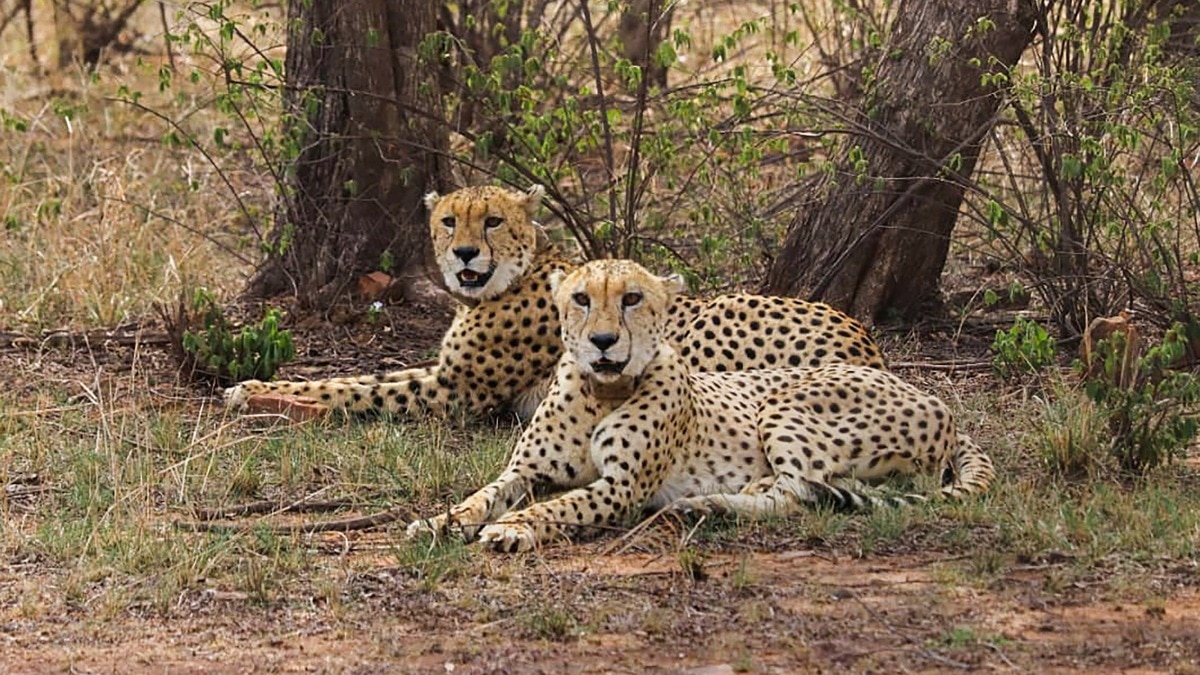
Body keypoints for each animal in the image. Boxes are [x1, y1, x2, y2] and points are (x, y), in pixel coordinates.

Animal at [224, 185, 886, 421]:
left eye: (492, 220)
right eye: (448, 221)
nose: (464, 254)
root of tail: (866, 341)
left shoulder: (458, 392)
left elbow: (355, 390)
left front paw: (258, 395)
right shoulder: (444, 372)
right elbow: (361, 376)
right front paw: (256, 386)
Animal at [406, 259, 994, 553]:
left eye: (632, 298)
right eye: (580, 299)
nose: (602, 342)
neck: (602, 392)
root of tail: (934, 399)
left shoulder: (622, 488)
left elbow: (558, 506)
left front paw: (513, 528)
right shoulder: (526, 470)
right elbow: (482, 495)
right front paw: (440, 521)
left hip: (784, 404)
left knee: (798, 492)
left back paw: (710, 503)